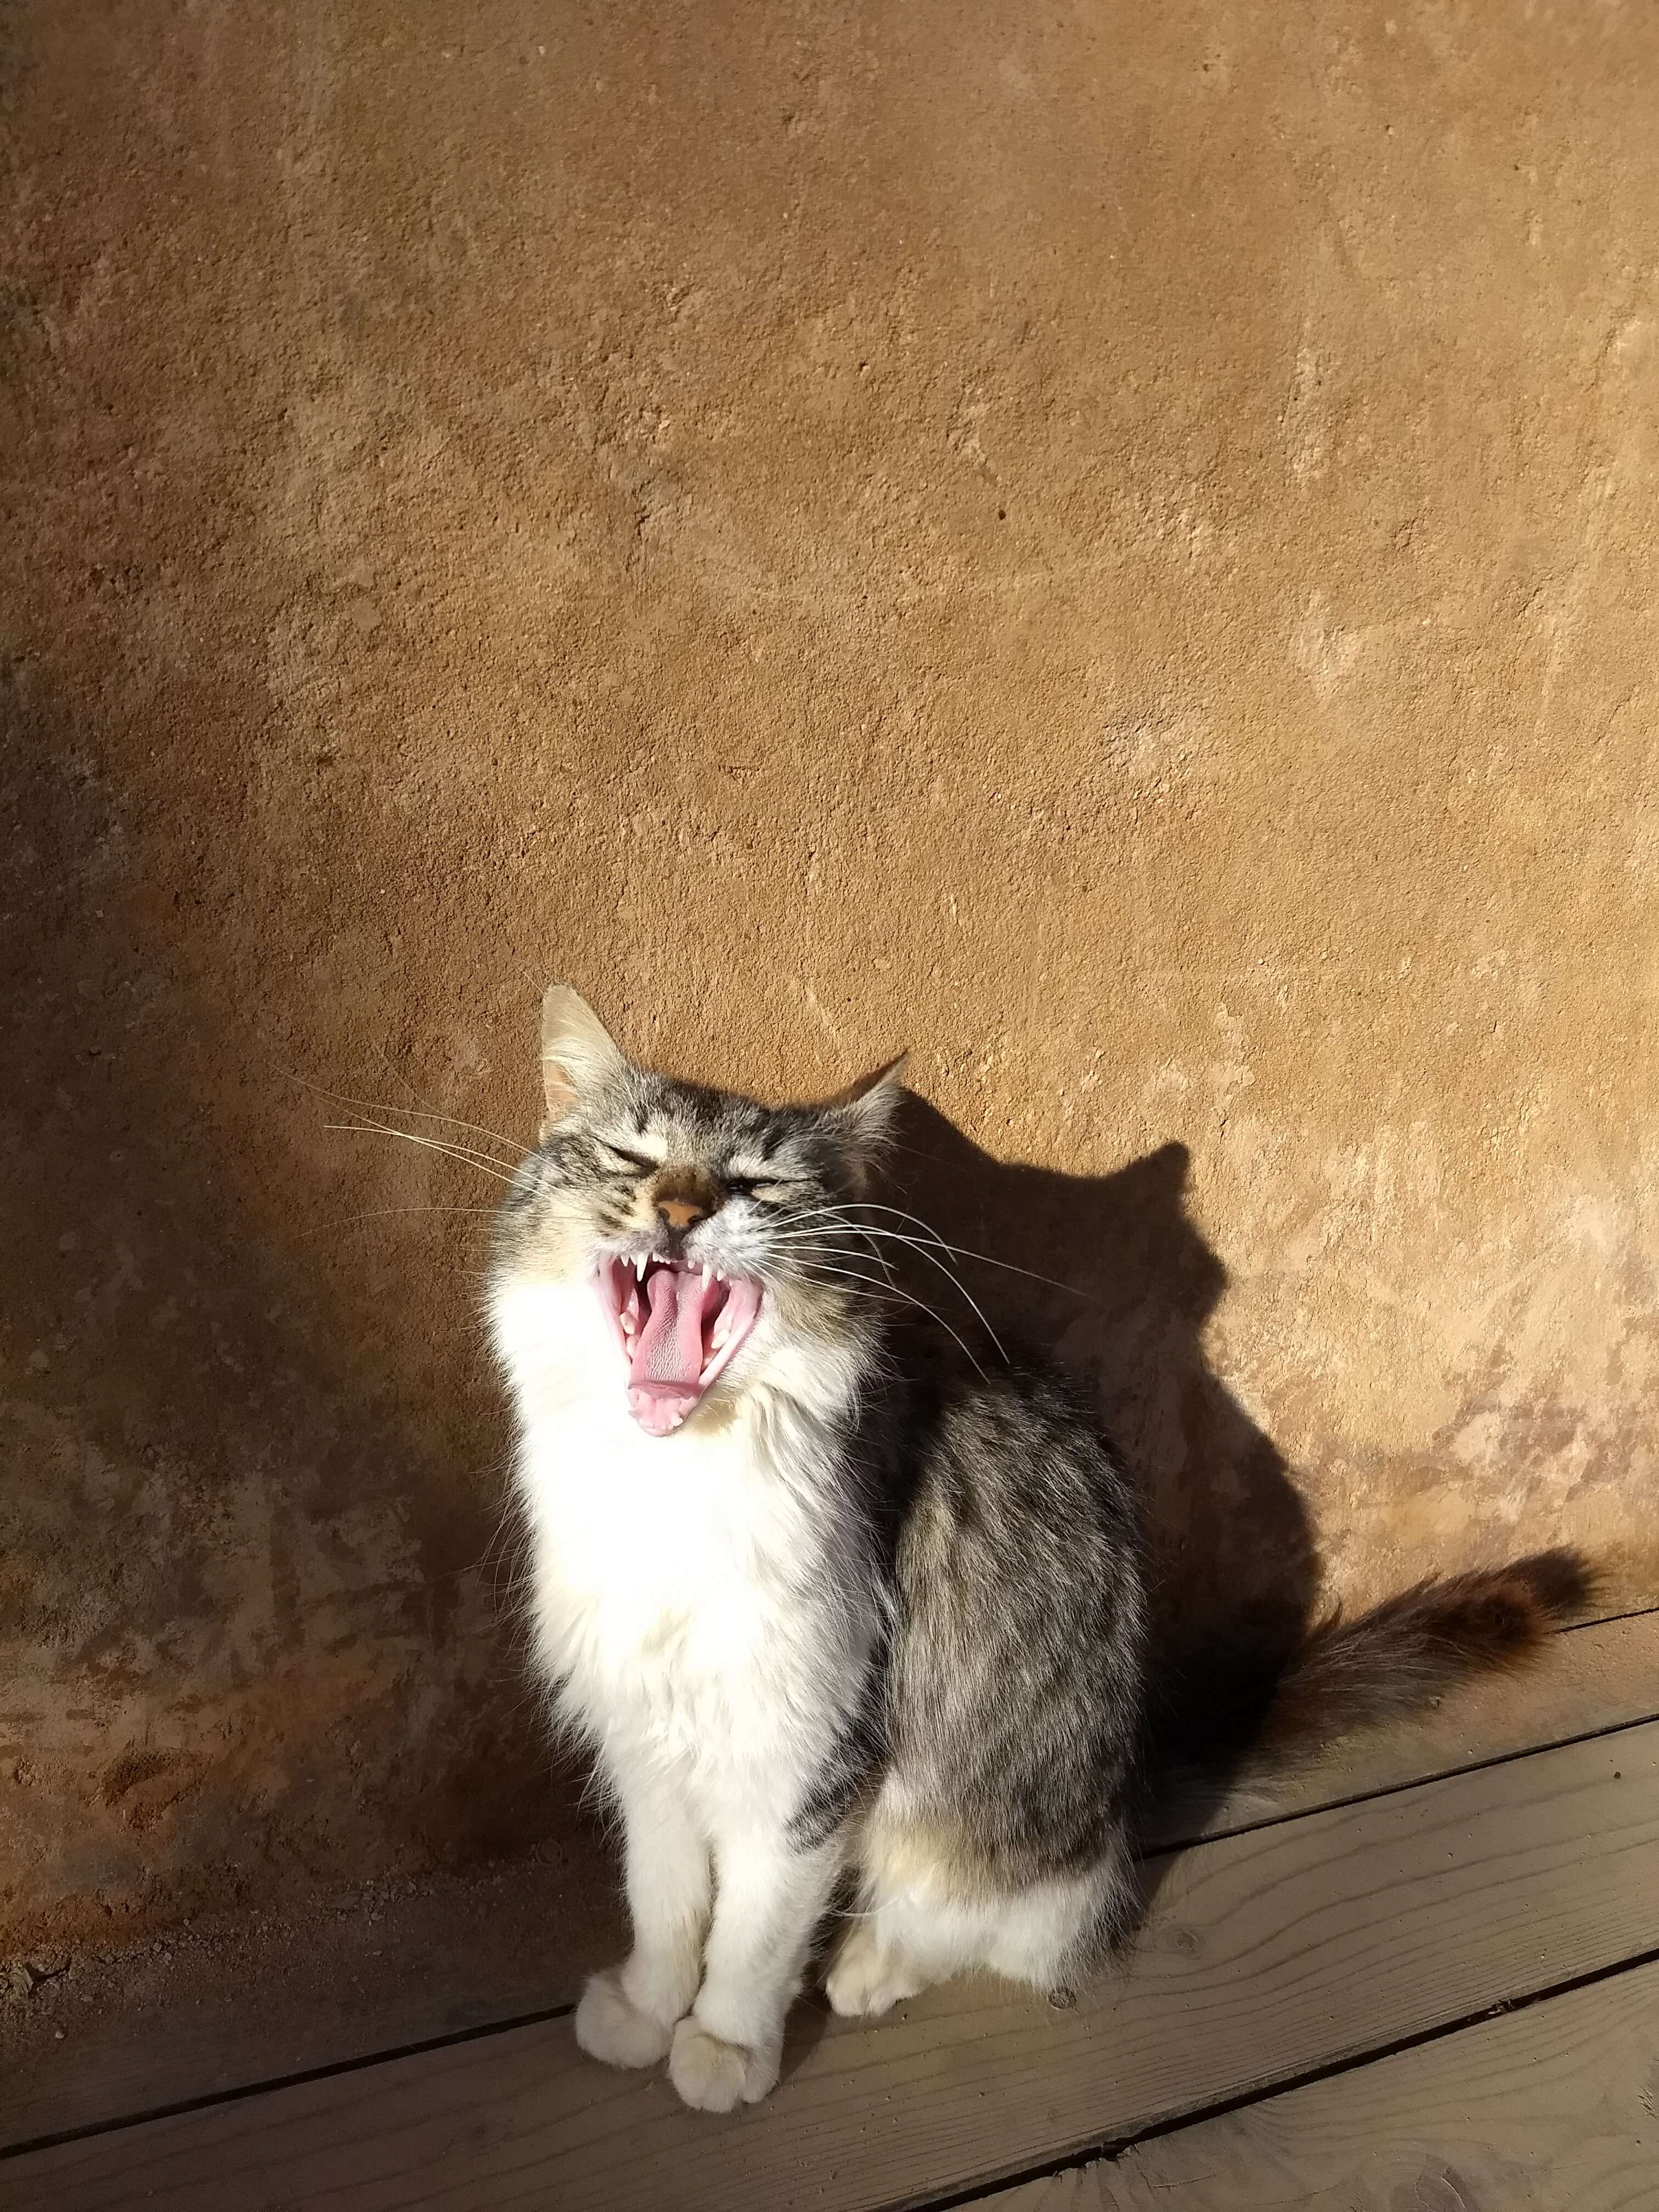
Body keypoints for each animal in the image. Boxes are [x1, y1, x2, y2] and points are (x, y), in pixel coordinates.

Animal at [486, 985, 1591, 2114]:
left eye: (756, 1183)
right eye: (631, 1157)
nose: (680, 1212)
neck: (666, 1478)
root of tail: (1126, 1777)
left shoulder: (809, 1758)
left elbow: (754, 1934)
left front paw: (722, 2047)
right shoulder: (644, 1732)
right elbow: (665, 1902)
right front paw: (647, 2009)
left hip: (968, 1829)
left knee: (978, 1923)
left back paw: (868, 1968)